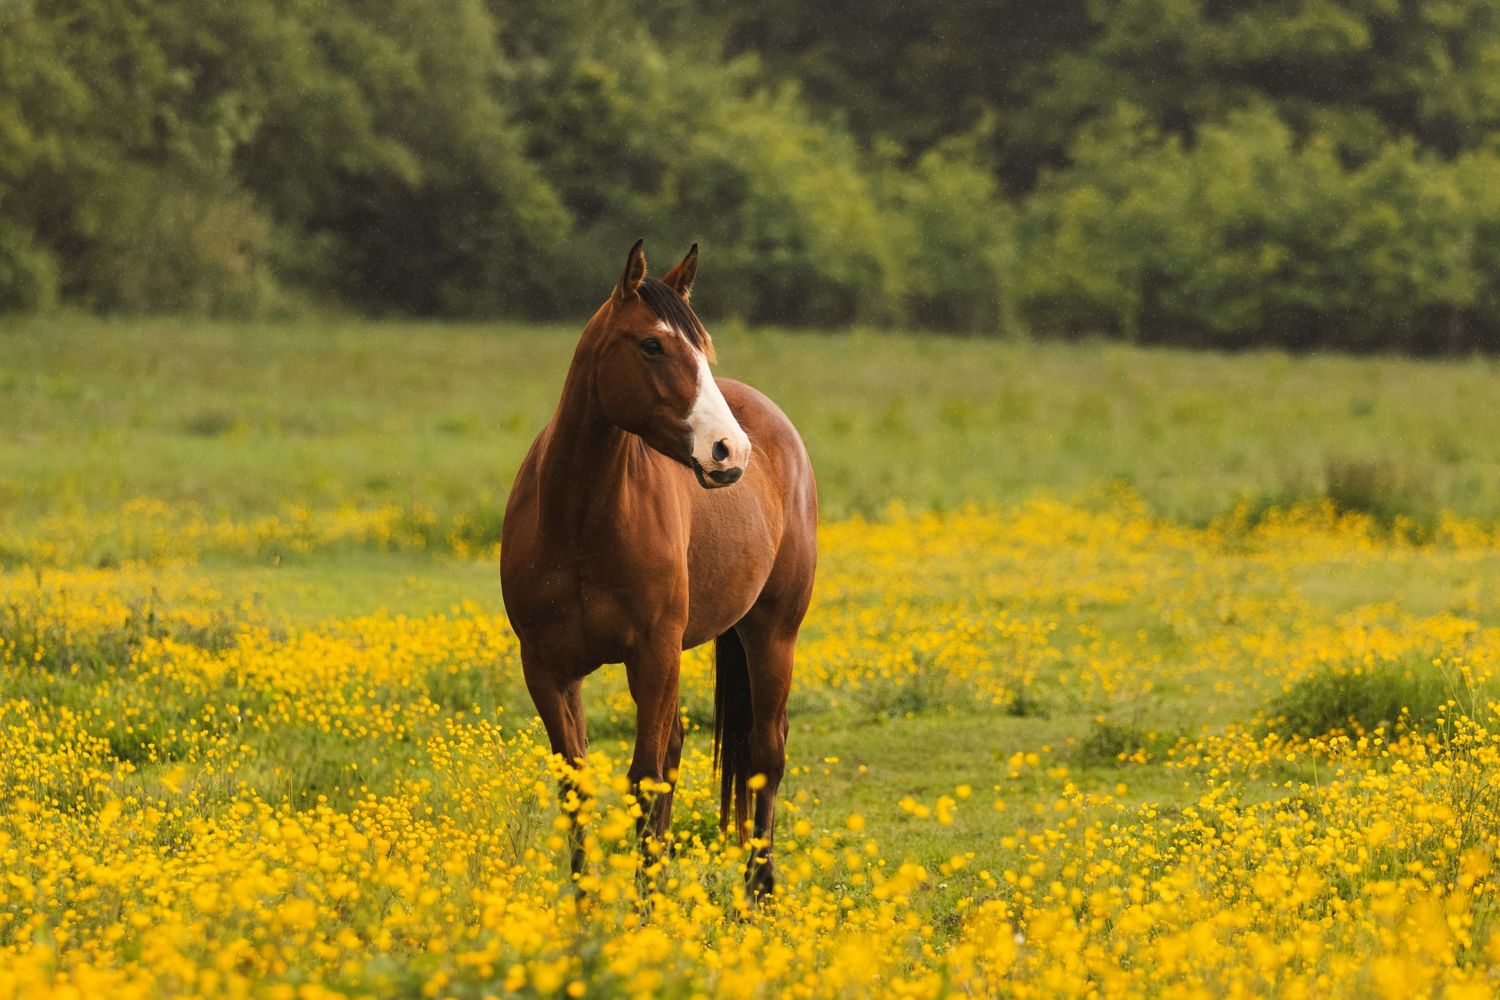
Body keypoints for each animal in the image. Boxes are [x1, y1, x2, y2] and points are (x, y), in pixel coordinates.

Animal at [500, 240, 818, 898]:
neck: (578, 521)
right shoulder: (546, 669)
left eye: (701, 348)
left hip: (772, 633)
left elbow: (644, 781)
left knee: (765, 754)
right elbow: (578, 785)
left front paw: (645, 913)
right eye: (651, 345)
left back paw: (757, 890)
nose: (729, 450)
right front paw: (587, 907)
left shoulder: (652, 655)